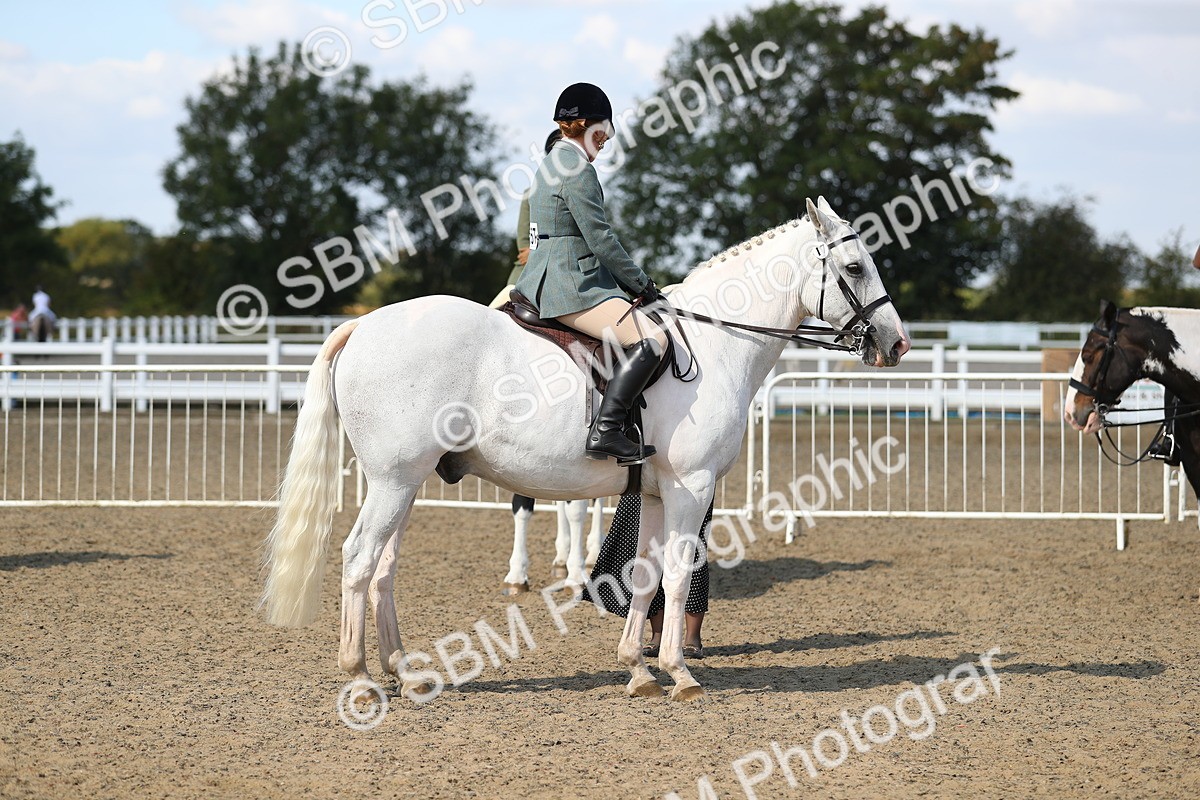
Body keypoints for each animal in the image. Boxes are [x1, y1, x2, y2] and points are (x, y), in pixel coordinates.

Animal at [259, 197, 910, 702]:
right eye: (855, 265)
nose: (897, 343)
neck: (712, 344)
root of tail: (365, 325)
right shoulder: (691, 487)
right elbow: (679, 573)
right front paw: (679, 672)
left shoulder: (654, 492)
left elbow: (646, 574)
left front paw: (638, 670)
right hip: (394, 481)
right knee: (358, 560)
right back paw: (360, 679)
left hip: (403, 483)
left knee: (384, 568)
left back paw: (402, 670)